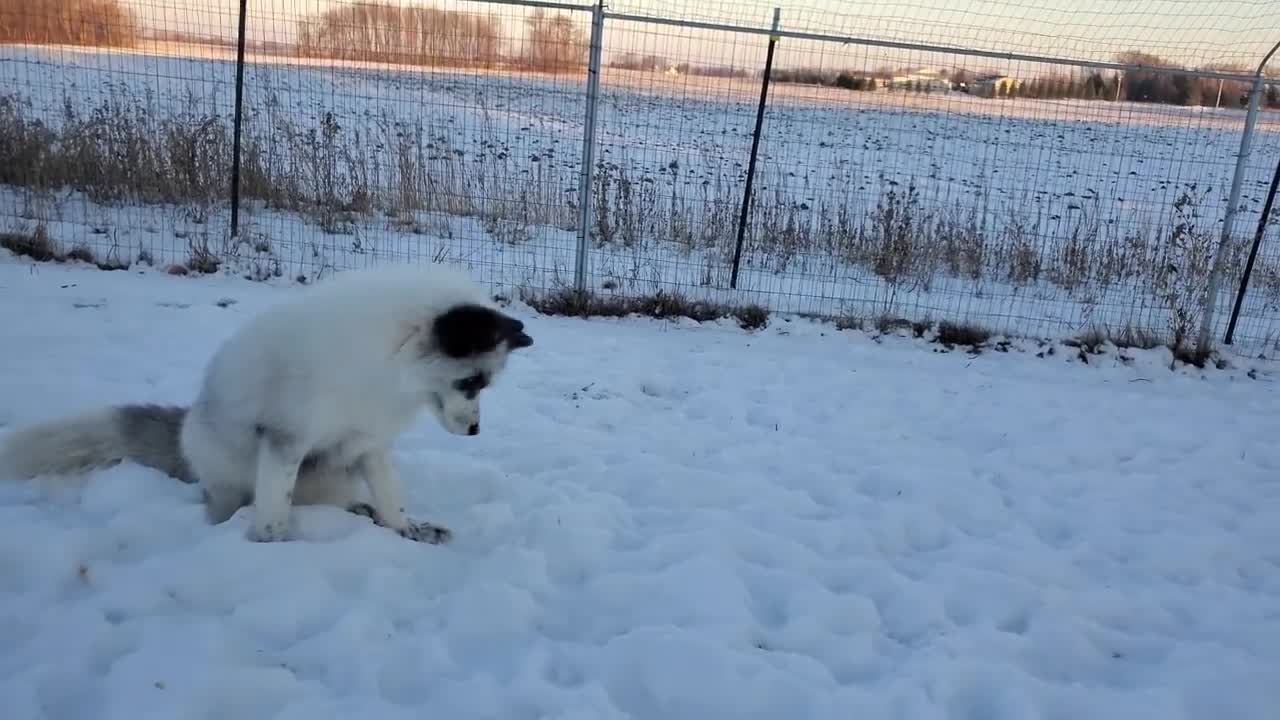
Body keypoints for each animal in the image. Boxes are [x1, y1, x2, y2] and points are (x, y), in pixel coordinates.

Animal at [0, 260, 532, 540]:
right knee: (228, 504)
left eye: (485, 384)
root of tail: (186, 428)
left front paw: (405, 529)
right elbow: (274, 512)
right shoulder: (286, 439)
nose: (475, 430)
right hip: (231, 477)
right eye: (471, 382)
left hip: (334, 471)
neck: (386, 364)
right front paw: (272, 546)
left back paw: (359, 512)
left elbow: (392, 498)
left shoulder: (368, 444)